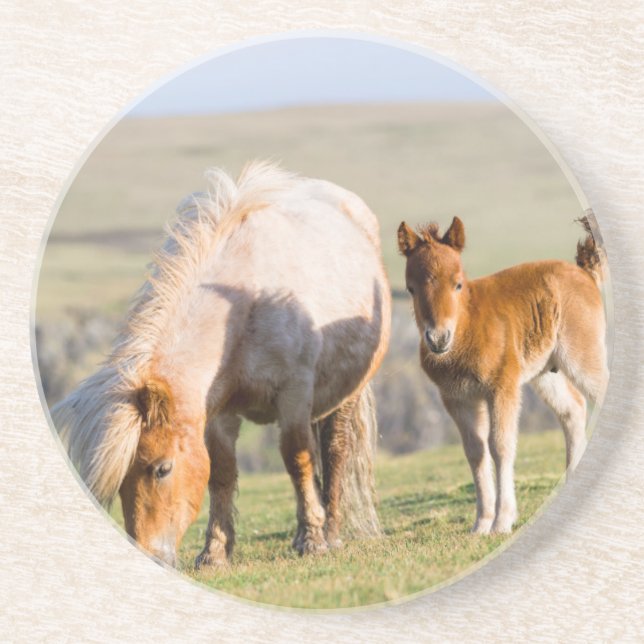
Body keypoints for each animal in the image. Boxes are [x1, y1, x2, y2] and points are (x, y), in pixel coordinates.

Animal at [51, 161, 391, 567]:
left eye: (162, 469)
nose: (151, 556)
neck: (243, 305)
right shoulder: (217, 412)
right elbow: (221, 472)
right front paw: (215, 552)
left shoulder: (293, 394)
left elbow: (297, 458)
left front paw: (312, 539)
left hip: (345, 393)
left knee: (334, 451)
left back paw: (332, 532)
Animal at [397, 214, 608, 534]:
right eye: (411, 289)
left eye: (458, 284)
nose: (438, 339)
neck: (468, 328)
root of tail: (584, 273)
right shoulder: (456, 398)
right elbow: (475, 452)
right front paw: (481, 524)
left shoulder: (501, 386)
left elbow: (501, 446)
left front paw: (502, 521)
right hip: (545, 372)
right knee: (573, 408)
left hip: (582, 355)